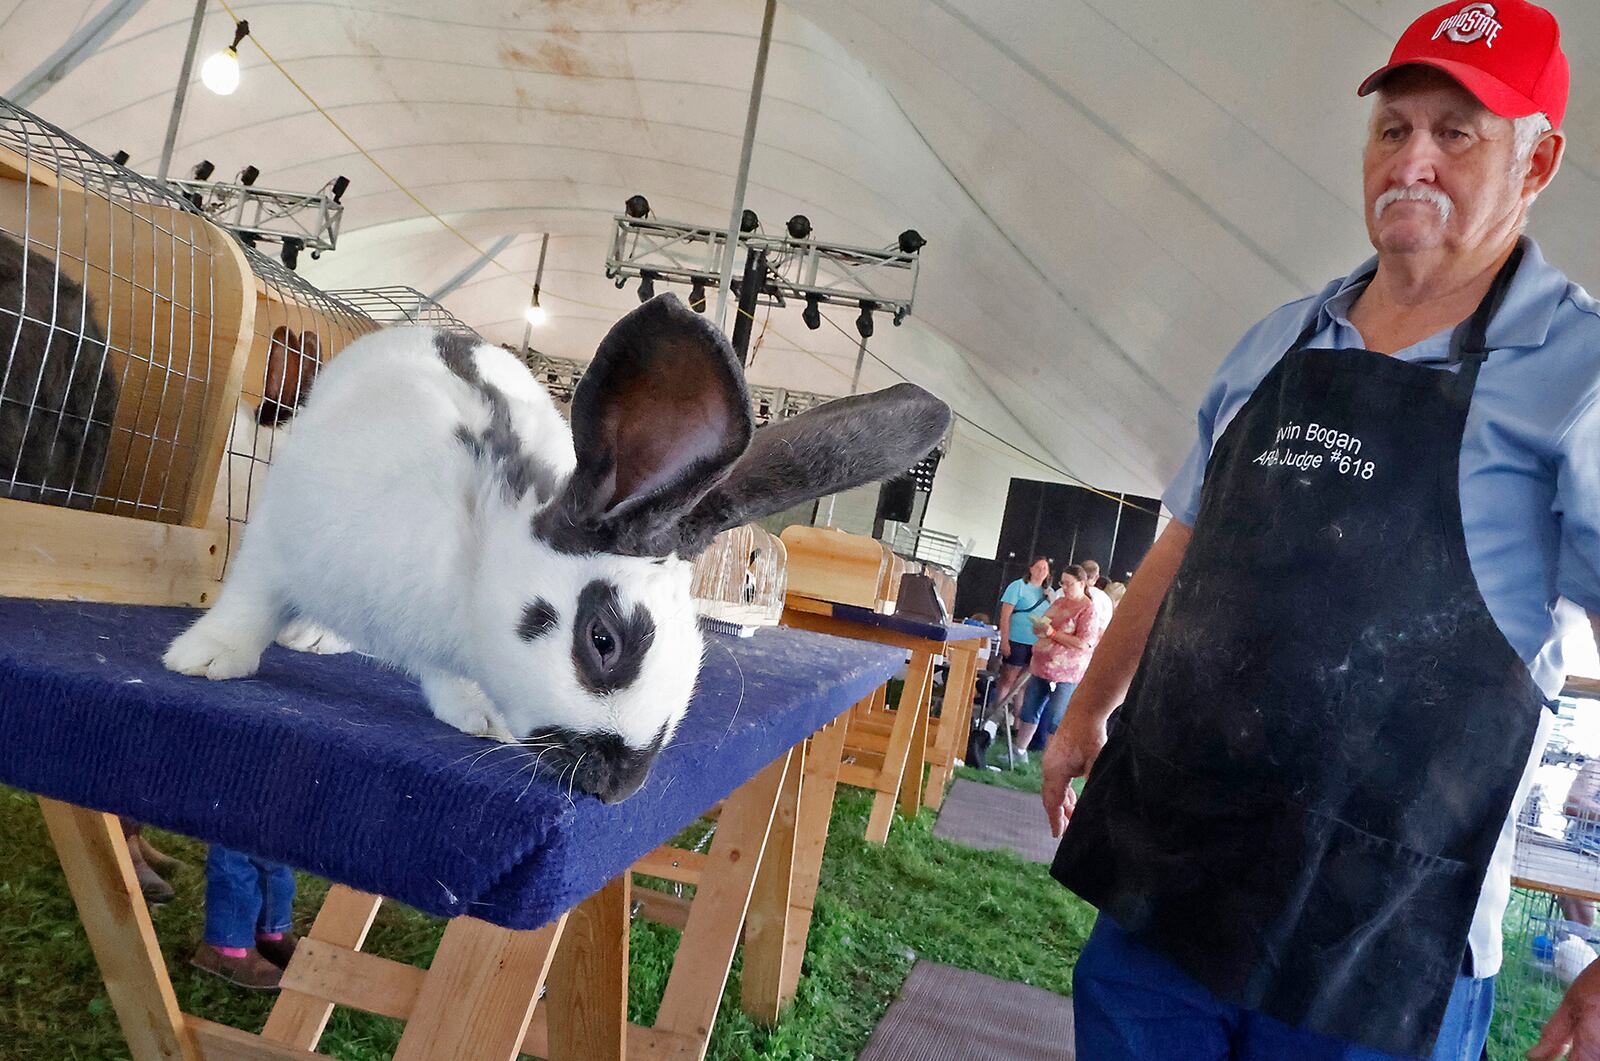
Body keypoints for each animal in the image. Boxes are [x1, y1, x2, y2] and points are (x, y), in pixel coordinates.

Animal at [165, 294, 947, 800]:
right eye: (603, 640)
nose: (618, 787)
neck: (472, 564)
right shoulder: (279, 534)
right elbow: (249, 600)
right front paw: (202, 660)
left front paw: (474, 715)